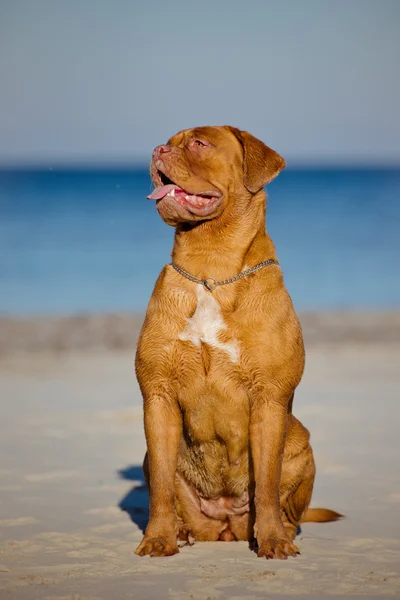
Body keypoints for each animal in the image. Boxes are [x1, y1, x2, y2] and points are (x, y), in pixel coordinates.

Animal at [135, 124, 340, 560]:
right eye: (169, 141)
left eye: (199, 143)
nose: (158, 150)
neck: (210, 266)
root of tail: (225, 524)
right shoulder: (157, 395)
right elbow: (160, 485)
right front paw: (158, 538)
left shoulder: (269, 398)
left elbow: (266, 482)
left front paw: (274, 541)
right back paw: (181, 531)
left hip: (301, 444)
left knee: (285, 504)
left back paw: (276, 531)